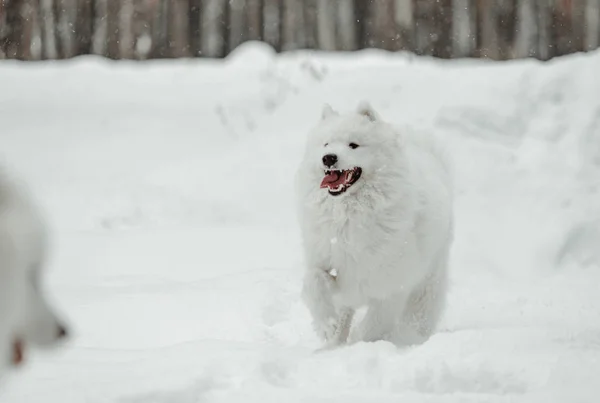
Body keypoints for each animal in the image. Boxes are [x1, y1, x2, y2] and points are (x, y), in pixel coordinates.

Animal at [292, 102, 452, 348]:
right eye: (326, 144)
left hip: (428, 281)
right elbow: (314, 283)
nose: (328, 158)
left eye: (353, 145)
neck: (349, 213)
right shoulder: (325, 261)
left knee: (418, 316)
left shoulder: (392, 285)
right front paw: (327, 326)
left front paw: (361, 342)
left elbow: (374, 325)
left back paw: (409, 338)